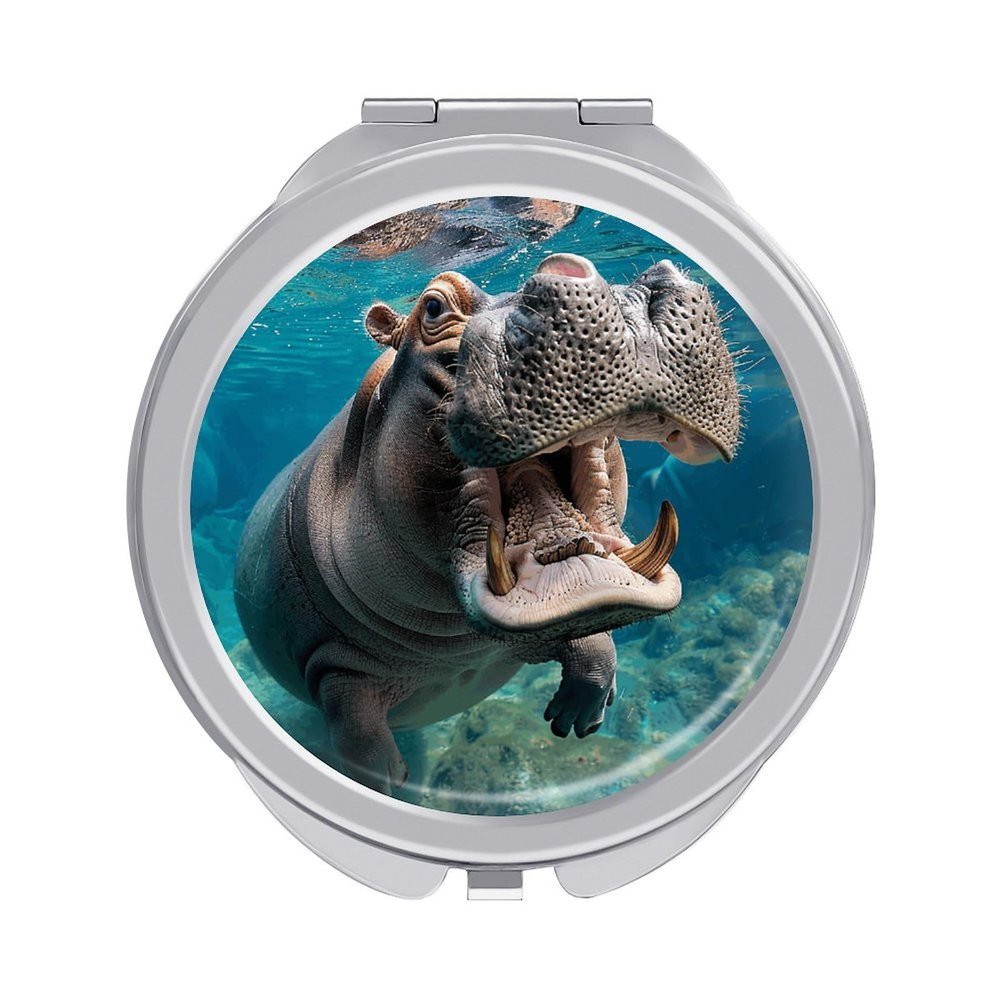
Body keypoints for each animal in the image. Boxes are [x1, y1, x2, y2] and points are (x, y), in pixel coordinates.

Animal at [234, 253, 740, 793]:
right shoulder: (334, 665)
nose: (627, 294)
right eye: (433, 307)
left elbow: (595, 638)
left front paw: (578, 717)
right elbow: (362, 741)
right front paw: (391, 782)